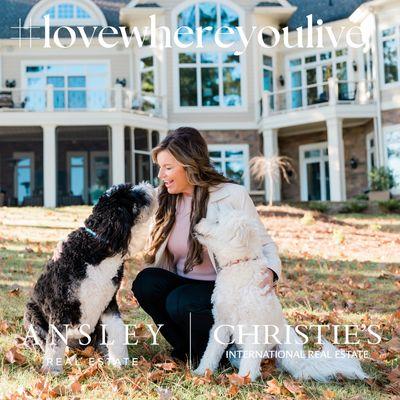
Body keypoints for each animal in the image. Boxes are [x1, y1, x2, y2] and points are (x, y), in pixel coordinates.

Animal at [24, 183, 157, 374]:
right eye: (135, 195)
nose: (151, 186)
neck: (98, 248)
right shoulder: (60, 305)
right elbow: (55, 342)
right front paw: (52, 369)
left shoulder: (109, 303)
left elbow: (117, 330)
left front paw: (120, 361)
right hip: (31, 313)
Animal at [192, 209, 368, 382]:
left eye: (217, 221)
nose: (197, 221)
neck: (240, 264)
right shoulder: (221, 324)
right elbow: (211, 352)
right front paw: (202, 371)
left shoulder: (256, 329)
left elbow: (249, 359)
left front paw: (243, 379)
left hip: (288, 353)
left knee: (300, 369)